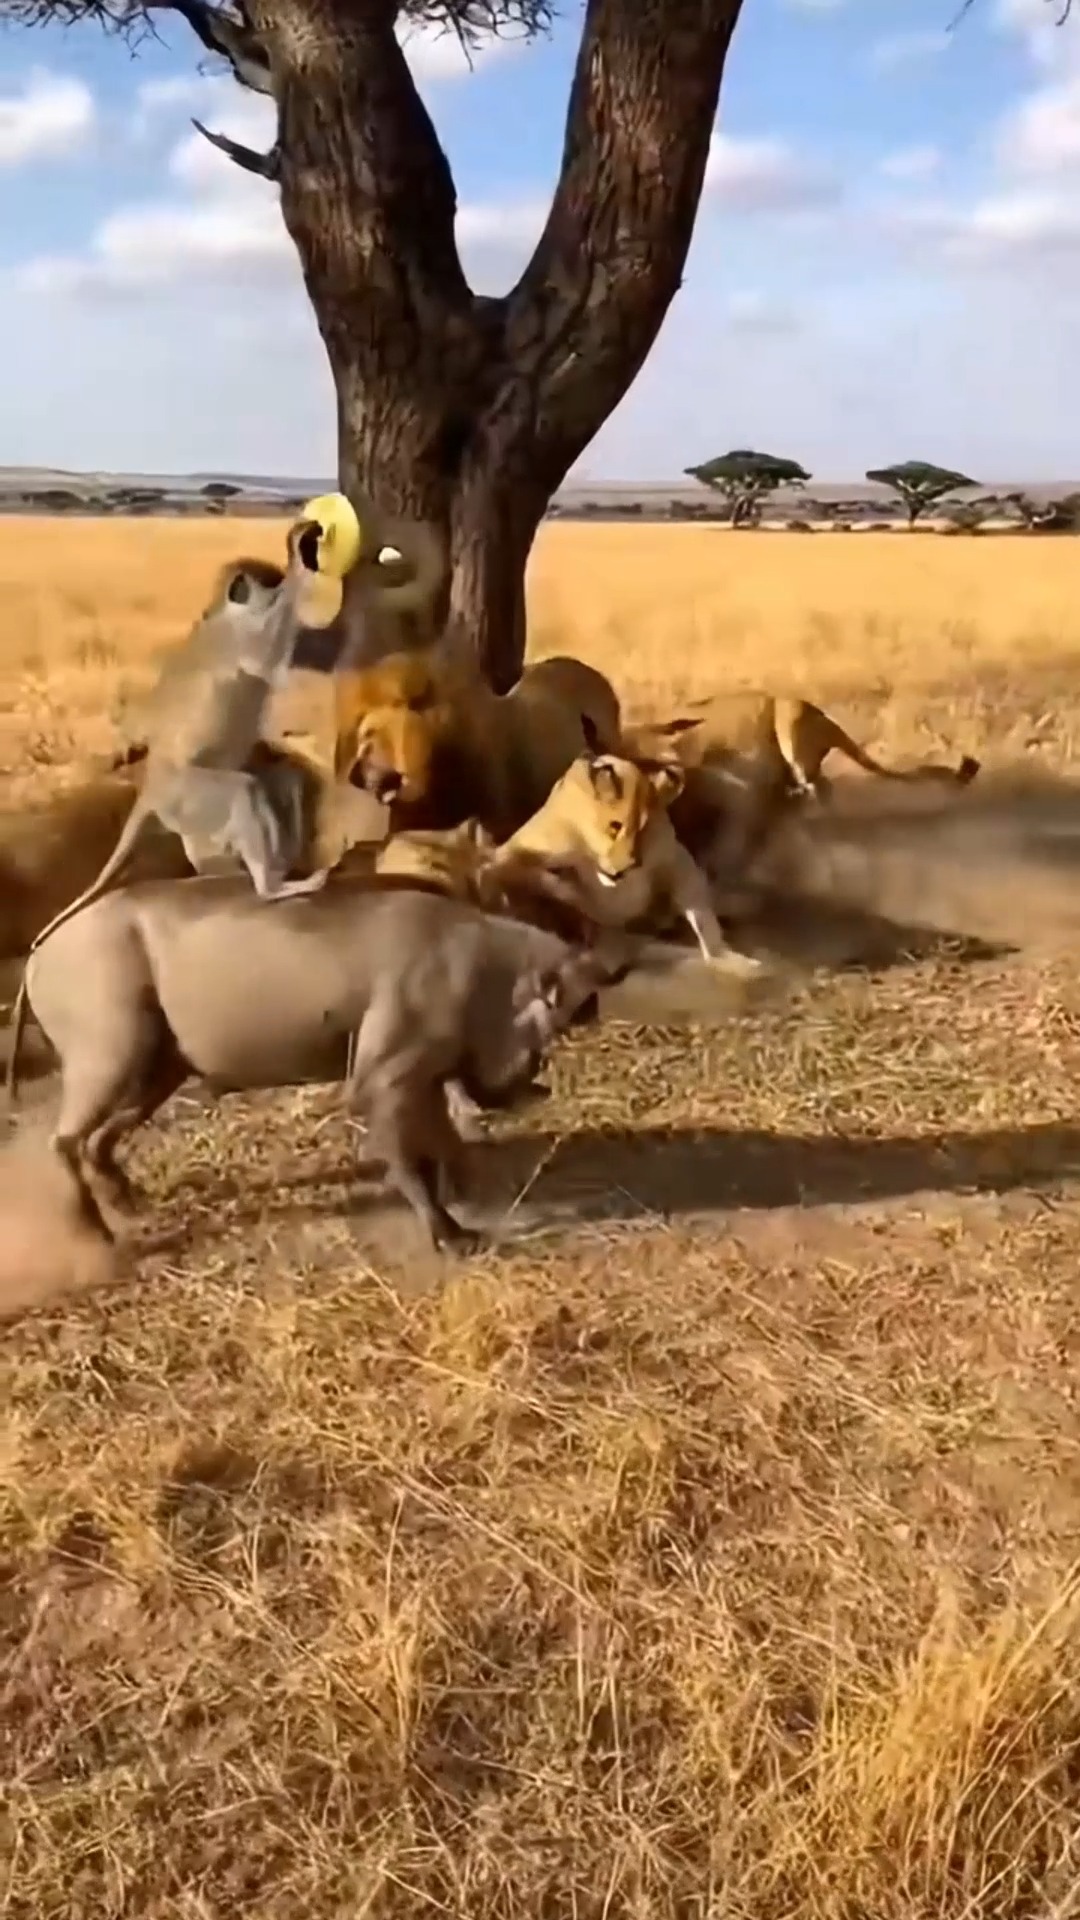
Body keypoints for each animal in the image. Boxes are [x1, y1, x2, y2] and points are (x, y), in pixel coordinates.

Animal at [28, 519, 332, 957]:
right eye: (270, 583)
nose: (278, 581)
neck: (227, 615)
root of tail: (152, 786)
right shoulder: (236, 639)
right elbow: (264, 653)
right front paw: (299, 555)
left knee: (278, 778)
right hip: (187, 796)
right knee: (242, 790)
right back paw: (270, 886)